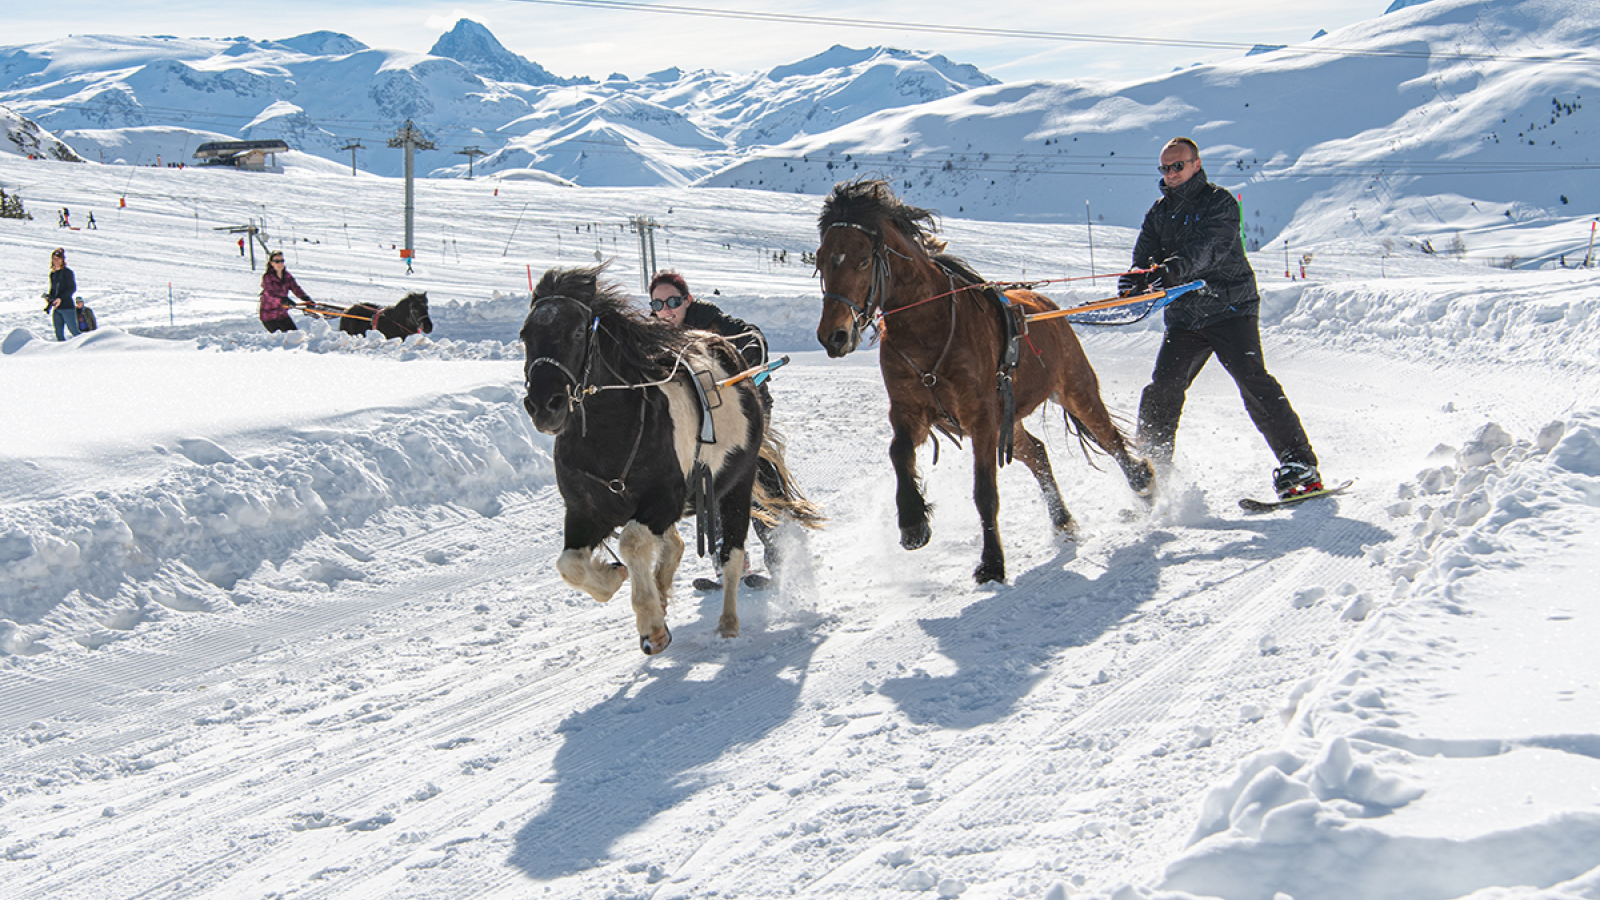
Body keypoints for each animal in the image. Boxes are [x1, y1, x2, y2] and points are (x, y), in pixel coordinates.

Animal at [512, 264, 761, 650]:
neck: (609, 435)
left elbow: (631, 541)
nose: (543, 405)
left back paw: (728, 623)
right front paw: (614, 578)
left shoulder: (665, 500)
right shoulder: (583, 510)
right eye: (525, 334)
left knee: (731, 558)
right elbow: (569, 563)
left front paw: (651, 625)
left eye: (576, 331)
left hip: (737, 486)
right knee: (675, 544)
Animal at [812, 177, 1152, 582]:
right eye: (820, 261)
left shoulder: (982, 419)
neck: (928, 327)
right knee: (1038, 453)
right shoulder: (911, 411)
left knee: (1108, 437)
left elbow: (985, 491)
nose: (833, 336)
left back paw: (1143, 482)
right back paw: (1062, 519)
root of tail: (1048, 307)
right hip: (1011, 420)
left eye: (863, 259)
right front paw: (913, 523)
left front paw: (992, 562)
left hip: (1074, 390)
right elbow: (899, 452)